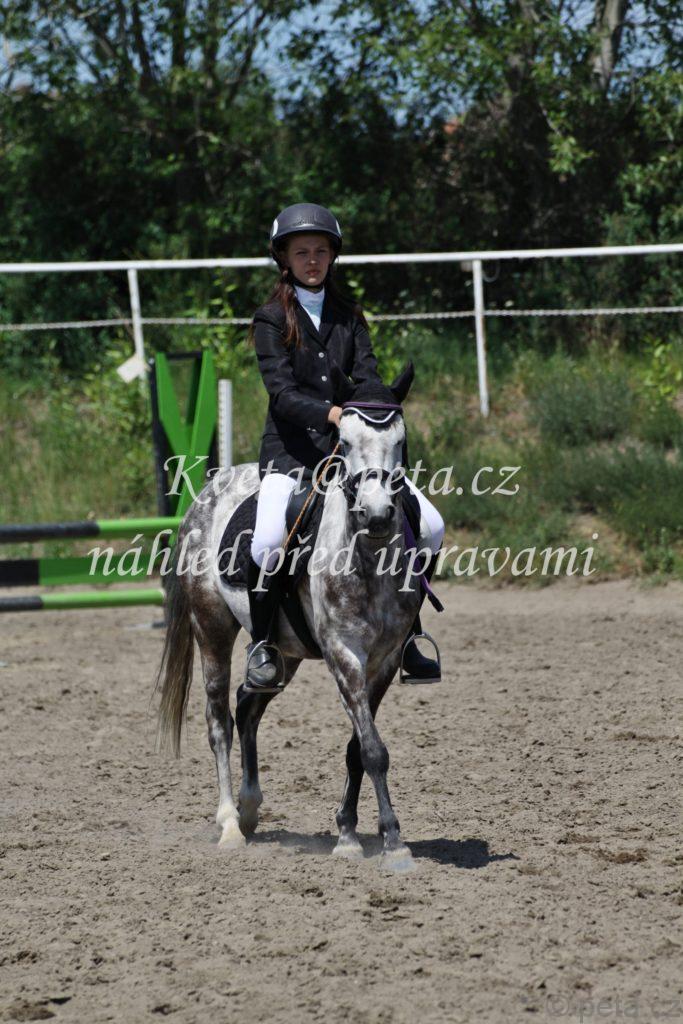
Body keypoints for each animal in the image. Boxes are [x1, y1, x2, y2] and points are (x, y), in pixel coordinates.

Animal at [155, 362, 435, 869]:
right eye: (344, 441)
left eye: (400, 441)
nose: (377, 516)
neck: (369, 557)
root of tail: (206, 493)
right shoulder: (344, 653)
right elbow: (373, 749)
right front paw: (392, 842)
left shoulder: (383, 661)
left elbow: (357, 748)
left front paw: (348, 832)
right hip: (212, 629)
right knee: (219, 721)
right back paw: (230, 824)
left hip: (284, 654)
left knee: (248, 705)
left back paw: (250, 810)